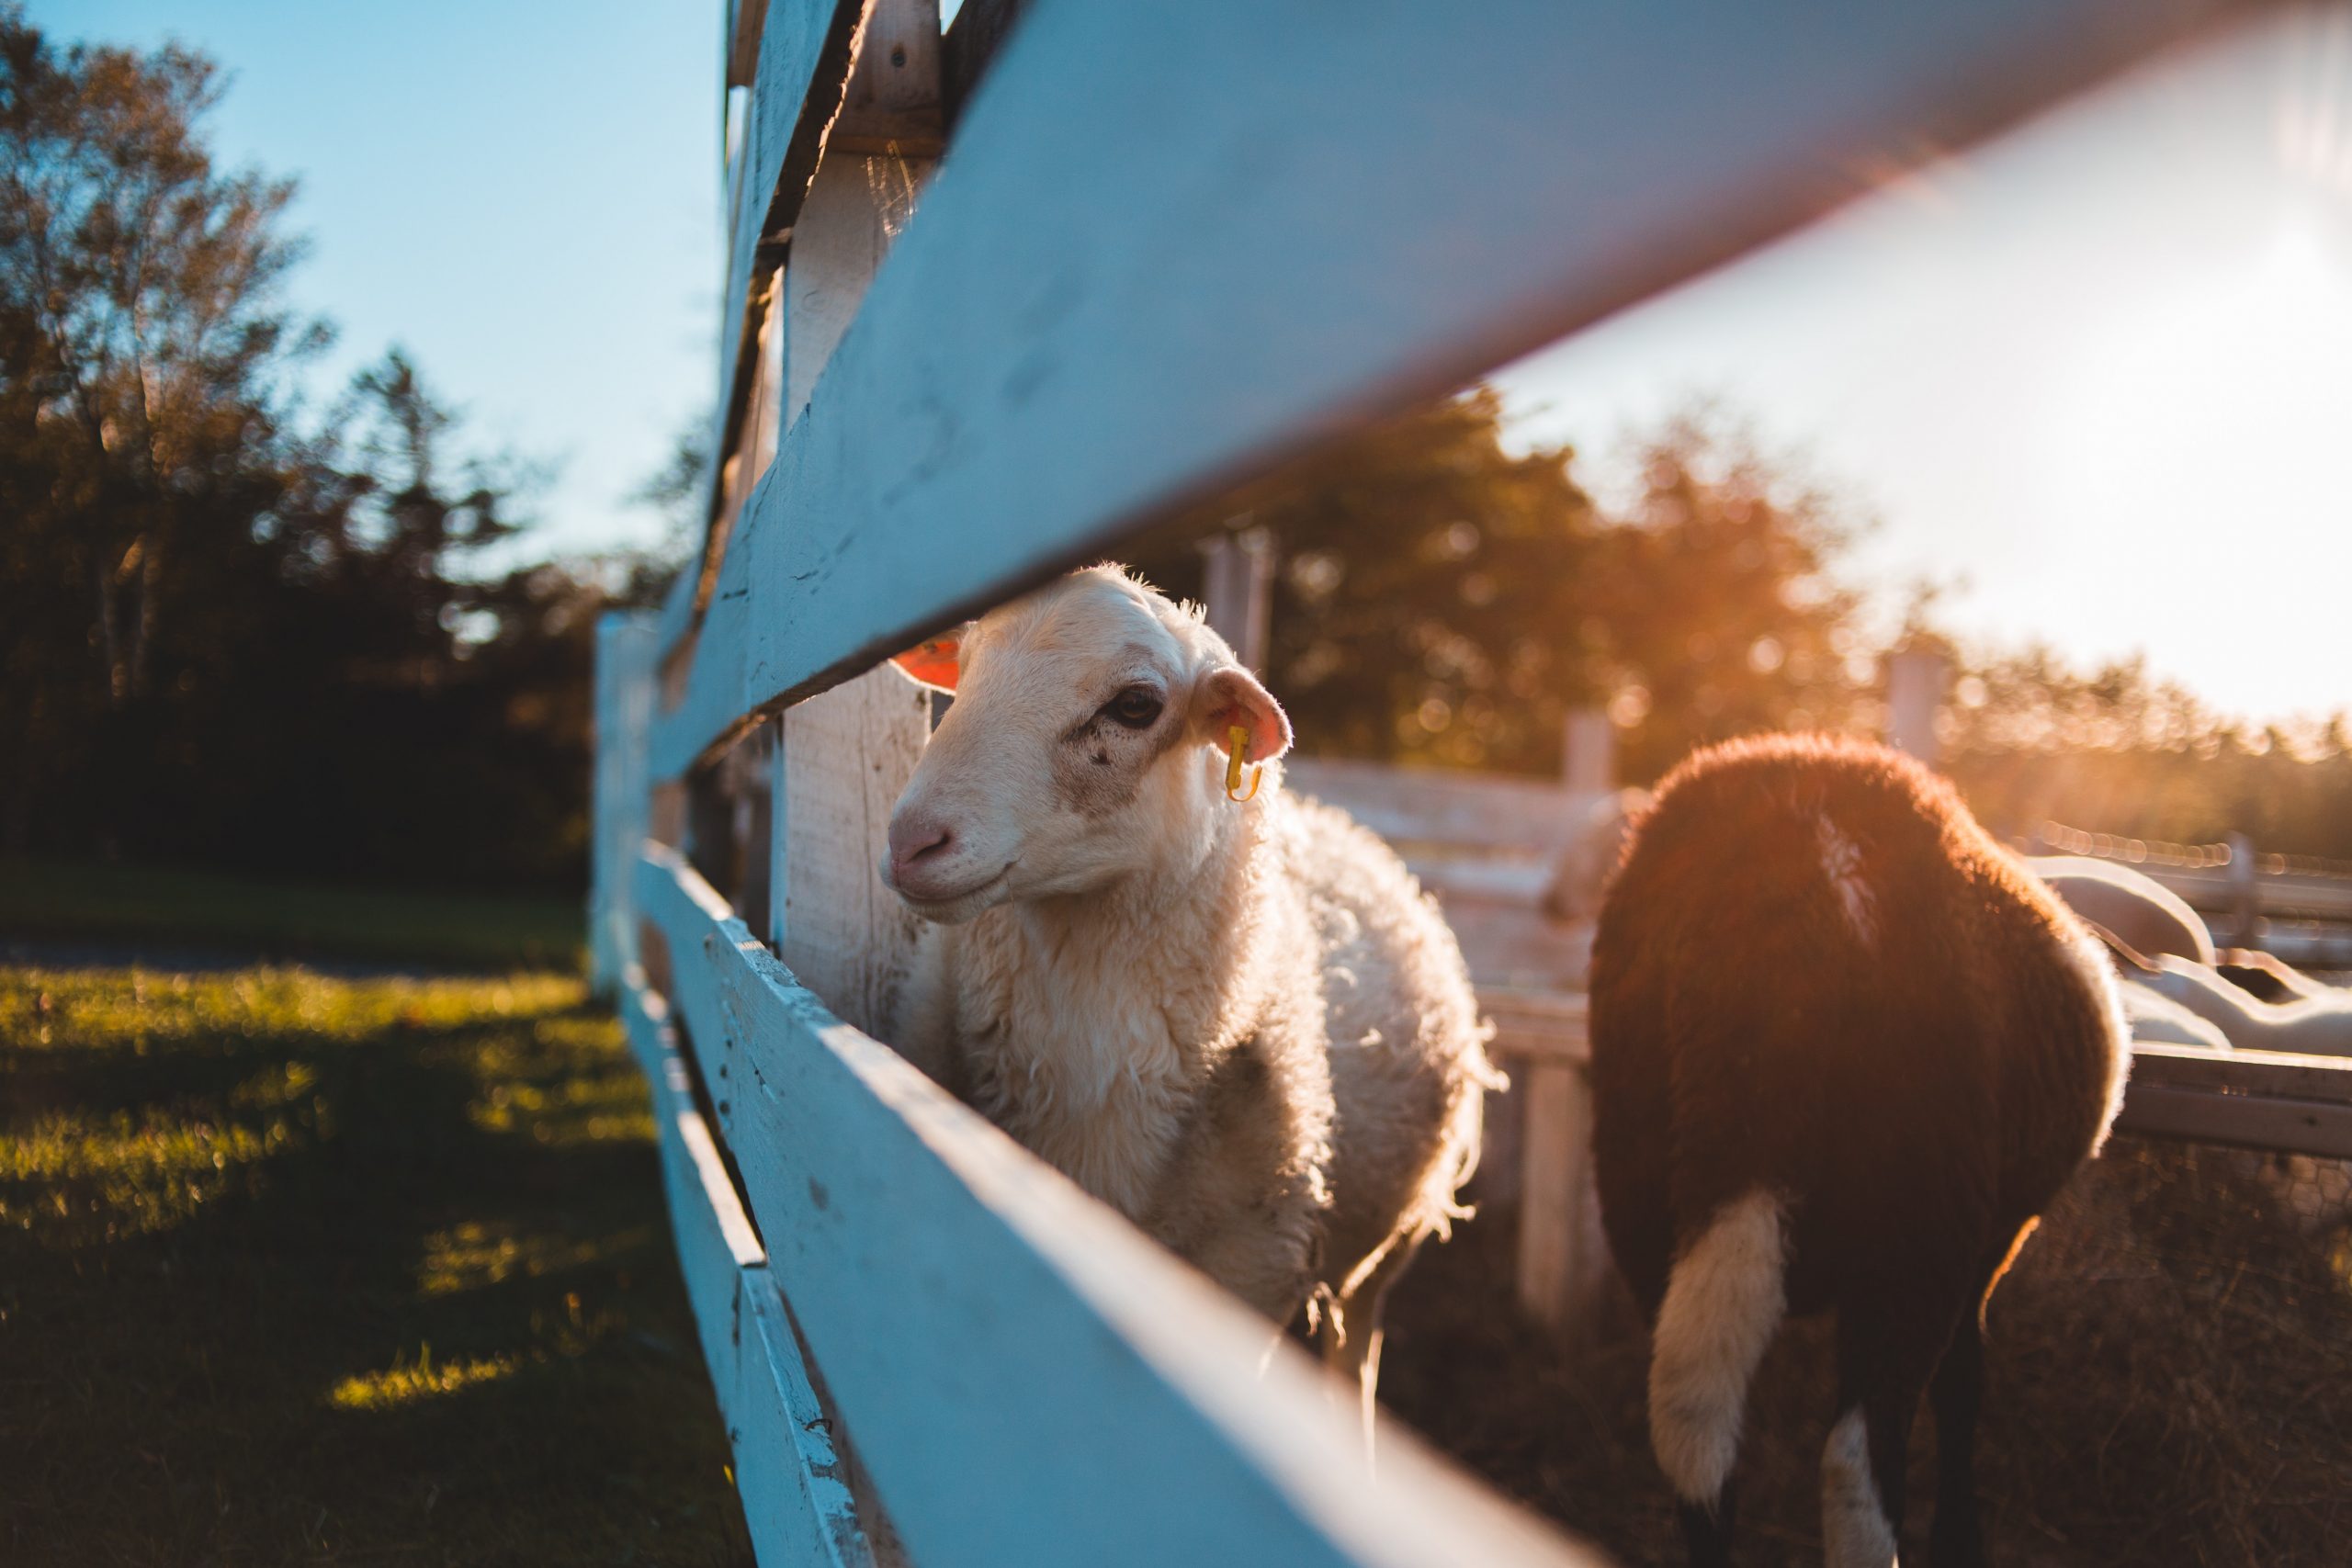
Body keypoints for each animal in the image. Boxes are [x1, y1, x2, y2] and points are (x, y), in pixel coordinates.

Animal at [875, 564, 1496, 1410]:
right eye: (963, 669)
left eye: (1135, 705)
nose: (911, 842)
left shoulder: (1251, 1265)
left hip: (1385, 1245)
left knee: (1354, 1345)